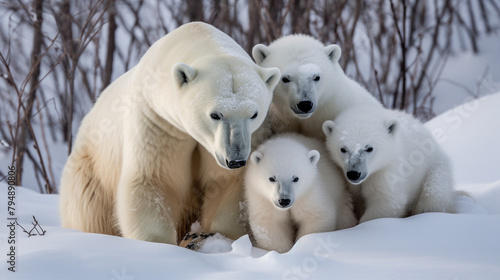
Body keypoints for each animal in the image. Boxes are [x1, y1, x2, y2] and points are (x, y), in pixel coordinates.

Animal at [58, 22, 282, 245]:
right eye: (215, 114)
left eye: (253, 114)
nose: (235, 159)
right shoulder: (157, 121)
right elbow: (154, 180)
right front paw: (160, 243)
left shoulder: (248, 137)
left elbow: (227, 184)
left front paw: (211, 237)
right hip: (92, 169)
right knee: (89, 211)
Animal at [324, 105, 458, 223]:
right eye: (343, 149)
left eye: (369, 148)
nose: (353, 173)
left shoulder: (388, 172)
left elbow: (388, 201)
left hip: (434, 169)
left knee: (433, 195)